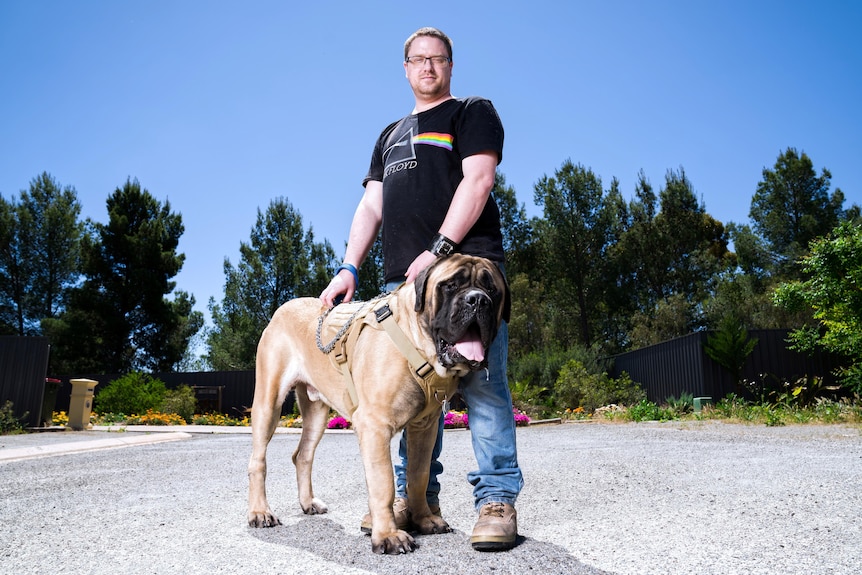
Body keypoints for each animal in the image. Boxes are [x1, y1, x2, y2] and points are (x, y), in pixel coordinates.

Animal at [246, 254, 510, 556]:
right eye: (450, 285)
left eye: (492, 291)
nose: (478, 300)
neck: (416, 342)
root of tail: (283, 308)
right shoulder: (375, 426)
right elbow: (384, 483)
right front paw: (387, 535)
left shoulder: (425, 428)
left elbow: (418, 476)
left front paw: (424, 519)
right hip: (268, 402)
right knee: (258, 460)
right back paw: (259, 512)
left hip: (316, 412)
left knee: (303, 455)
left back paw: (308, 502)